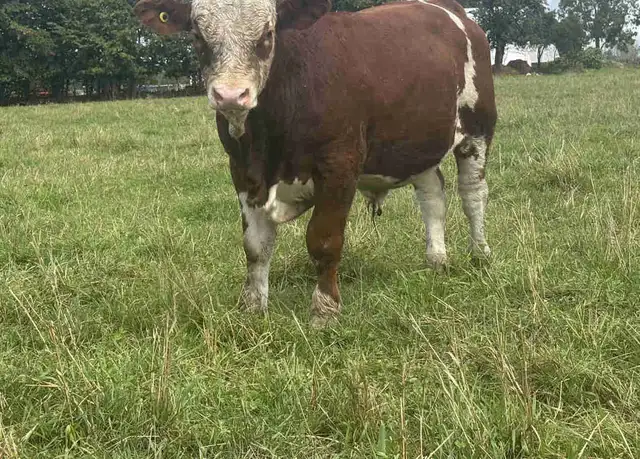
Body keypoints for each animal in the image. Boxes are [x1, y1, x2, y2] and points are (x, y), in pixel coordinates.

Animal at [133, 0, 497, 326]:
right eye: (198, 35)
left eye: (267, 34)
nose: (231, 95)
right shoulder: (242, 171)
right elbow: (255, 246)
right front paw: (252, 308)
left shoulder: (339, 166)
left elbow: (324, 241)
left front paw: (325, 311)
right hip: (418, 143)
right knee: (433, 195)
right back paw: (436, 259)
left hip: (478, 128)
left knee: (473, 194)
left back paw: (480, 254)